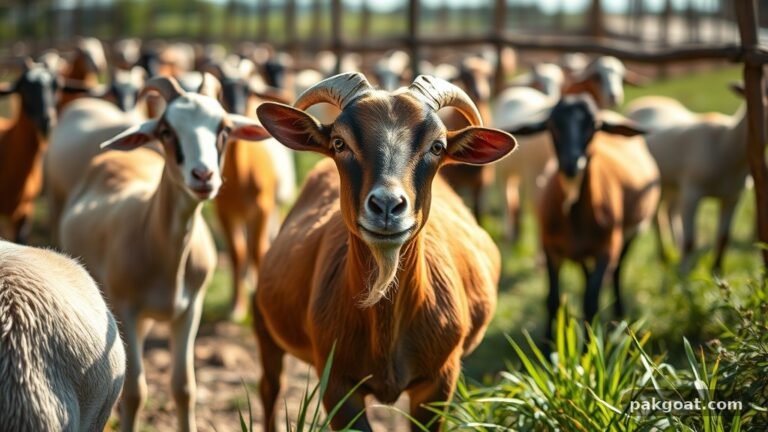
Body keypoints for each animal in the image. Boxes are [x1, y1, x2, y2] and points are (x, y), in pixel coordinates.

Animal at [58, 76, 270, 432]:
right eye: (167, 130)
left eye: (223, 129)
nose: (203, 176)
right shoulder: (126, 310)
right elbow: (133, 392)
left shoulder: (190, 310)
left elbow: (184, 388)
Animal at [254, 73, 516, 431]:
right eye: (339, 143)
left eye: (437, 146)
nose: (388, 206)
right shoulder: (337, 384)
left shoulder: (439, 381)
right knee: (270, 388)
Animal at [508, 94, 659, 340]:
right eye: (552, 125)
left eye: (594, 126)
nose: (573, 164)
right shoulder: (550, 247)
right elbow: (552, 300)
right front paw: (548, 342)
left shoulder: (607, 249)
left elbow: (591, 302)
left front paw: (591, 344)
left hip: (630, 234)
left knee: (617, 271)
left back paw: (620, 316)